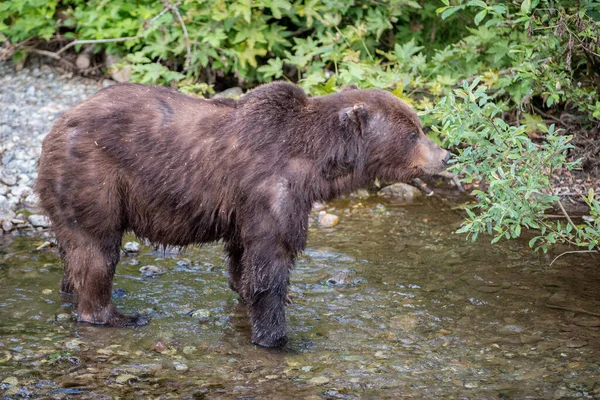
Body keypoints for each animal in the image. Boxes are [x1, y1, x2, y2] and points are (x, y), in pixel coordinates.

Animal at [35, 81, 448, 346]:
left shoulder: (244, 205)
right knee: (97, 248)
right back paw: (116, 315)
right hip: (94, 175)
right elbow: (271, 259)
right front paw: (277, 336)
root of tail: (57, 124)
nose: (445, 155)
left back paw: (75, 292)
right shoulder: (274, 188)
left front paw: (251, 294)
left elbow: (242, 255)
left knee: (73, 251)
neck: (317, 164)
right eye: (414, 132)